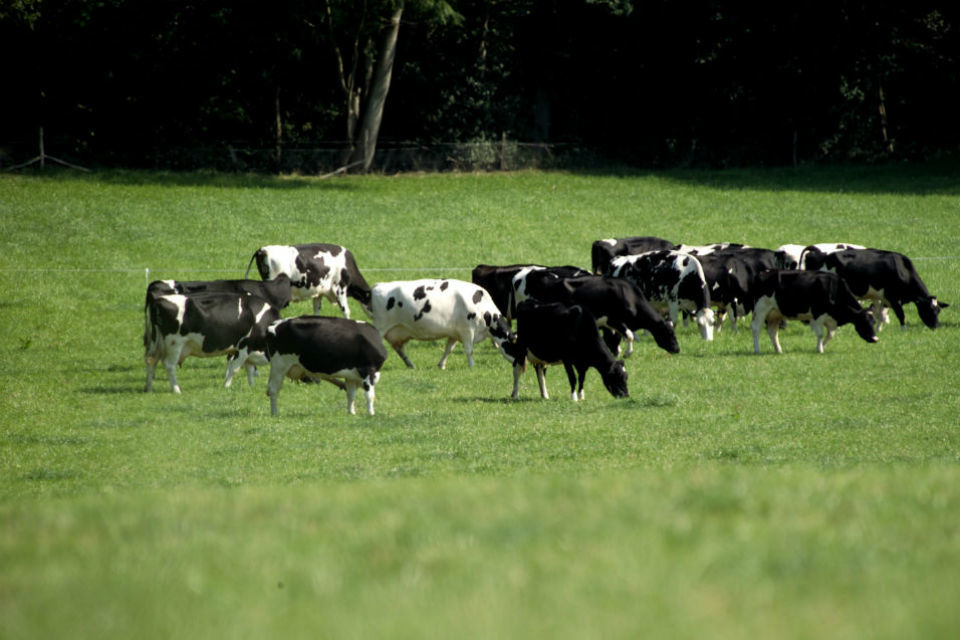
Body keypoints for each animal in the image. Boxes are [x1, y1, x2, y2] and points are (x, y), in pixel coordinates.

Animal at [144, 291, 281, 393]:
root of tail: (158, 300)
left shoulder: (249, 348)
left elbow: (249, 369)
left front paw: (252, 386)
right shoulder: (244, 346)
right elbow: (235, 368)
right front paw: (226, 386)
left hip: (157, 343)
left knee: (151, 361)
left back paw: (149, 389)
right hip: (175, 343)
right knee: (169, 365)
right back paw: (176, 390)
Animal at [369, 278, 514, 369]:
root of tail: (378, 286)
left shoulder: (455, 333)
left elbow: (448, 349)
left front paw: (441, 365)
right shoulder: (467, 330)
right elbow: (469, 350)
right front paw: (472, 365)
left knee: (399, 349)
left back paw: (411, 365)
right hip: (381, 327)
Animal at [520, 272, 679, 357]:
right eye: (670, 333)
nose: (677, 349)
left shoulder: (609, 324)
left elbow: (615, 338)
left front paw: (616, 352)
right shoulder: (616, 320)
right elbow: (629, 335)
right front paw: (626, 353)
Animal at [751, 270, 879, 354]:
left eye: (874, 322)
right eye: (864, 322)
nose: (875, 339)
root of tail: (763, 273)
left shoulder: (830, 319)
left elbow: (830, 335)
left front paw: (823, 346)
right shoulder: (818, 314)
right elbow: (821, 334)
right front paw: (820, 349)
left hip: (775, 313)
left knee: (773, 331)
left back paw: (778, 350)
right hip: (761, 308)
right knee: (756, 328)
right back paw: (757, 350)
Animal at [805, 248, 948, 330]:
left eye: (938, 310)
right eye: (928, 309)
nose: (936, 327)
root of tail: (816, 255)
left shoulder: (883, 297)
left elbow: (881, 314)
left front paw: (878, 329)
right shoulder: (893, 297)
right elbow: (900, 314)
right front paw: (904, 329)